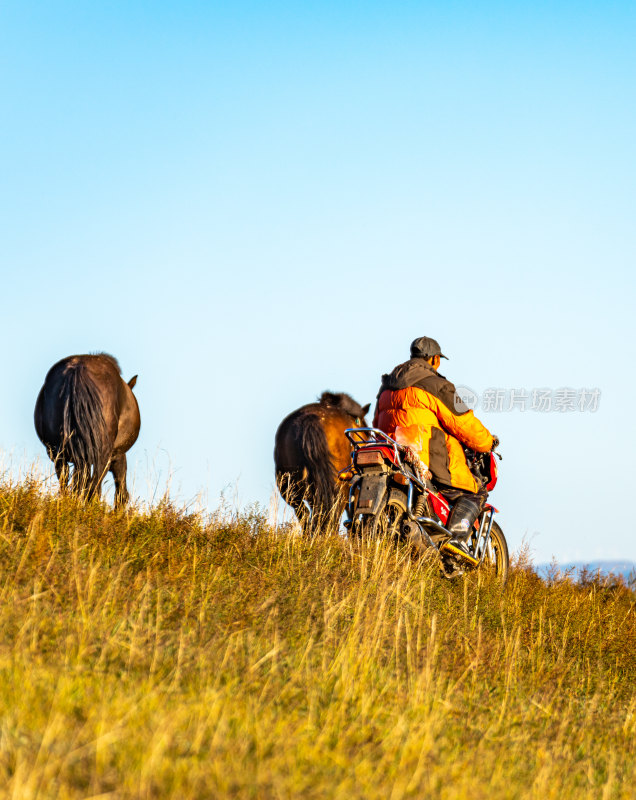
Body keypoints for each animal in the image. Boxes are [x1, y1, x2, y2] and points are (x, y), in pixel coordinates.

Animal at [34, 352, 140, 504]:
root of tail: (77, 370)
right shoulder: (117, 455)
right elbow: (121, 493)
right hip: (102, 455)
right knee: (94, 488)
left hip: (59, 453)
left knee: (69, 484)